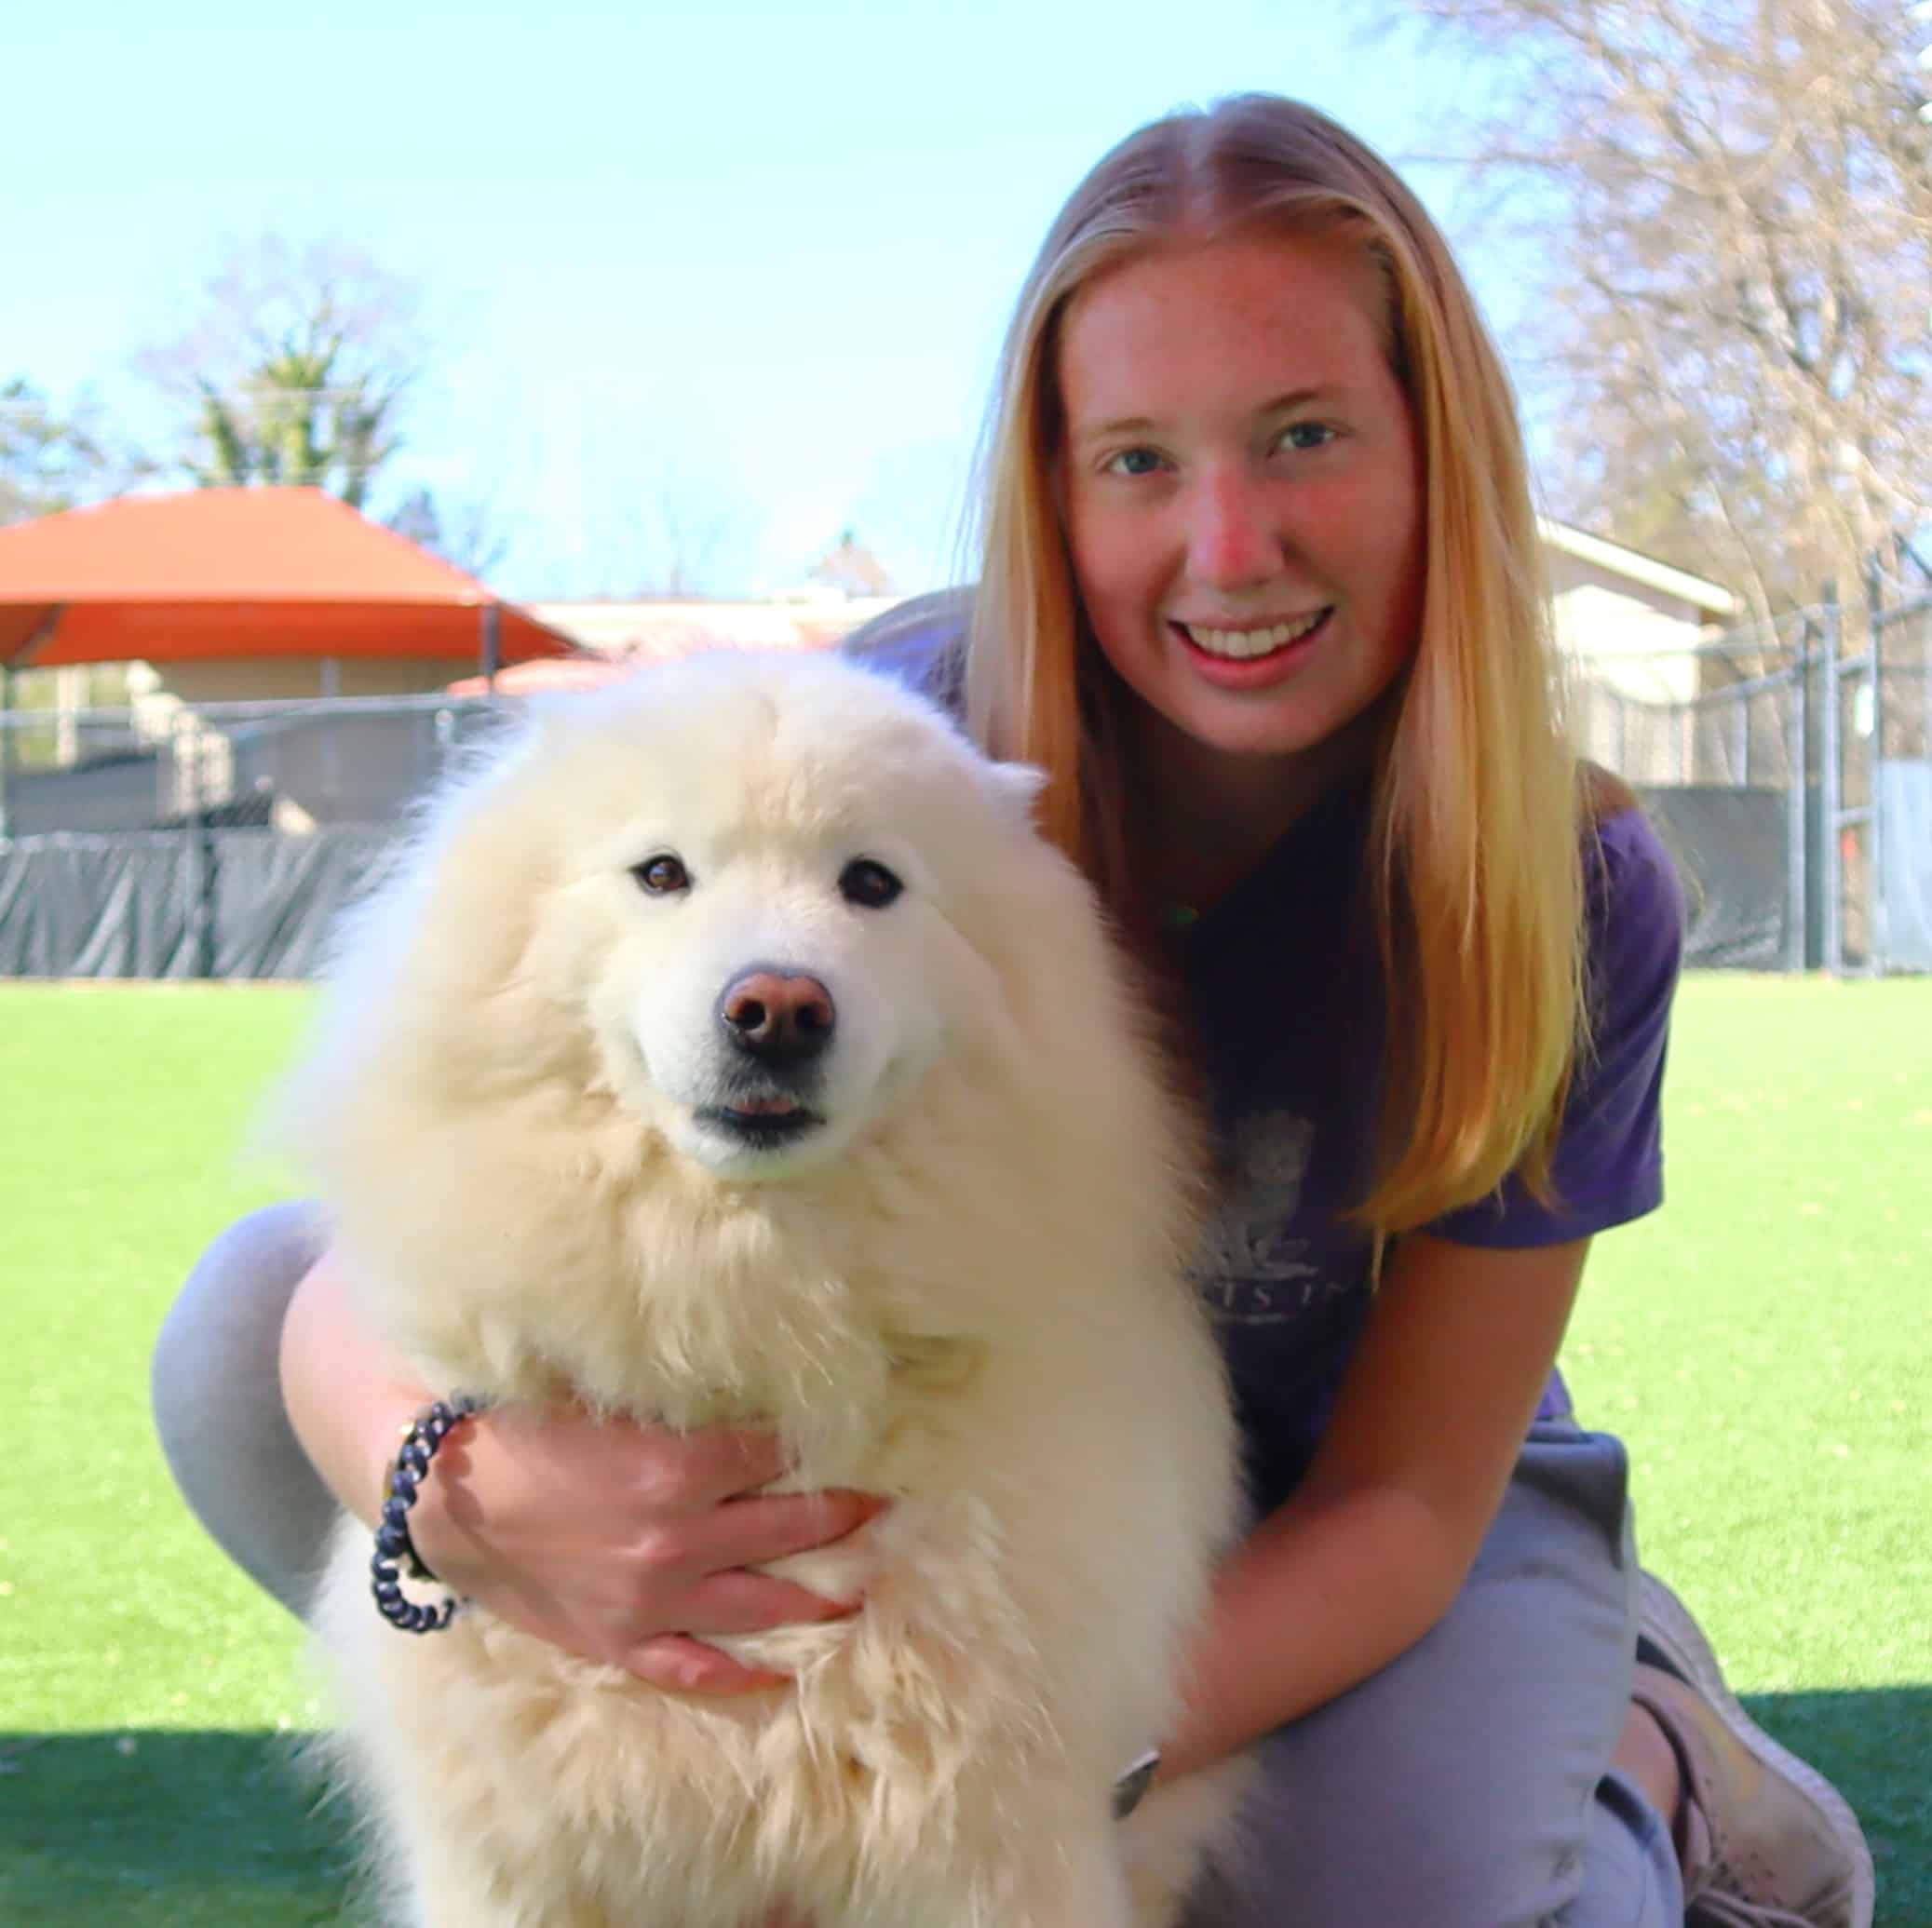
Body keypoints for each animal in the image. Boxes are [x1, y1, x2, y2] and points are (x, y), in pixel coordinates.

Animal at [281, 653, 1251, 1928]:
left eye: (871, 882)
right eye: (660, 874)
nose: (777, 1009)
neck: (752, 1319)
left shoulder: (992, 1847)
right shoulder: (521, 1864)